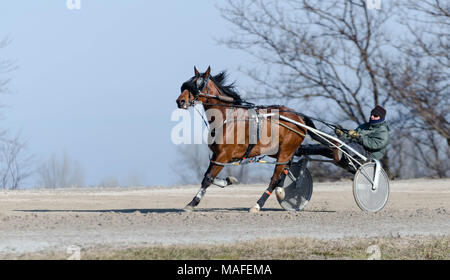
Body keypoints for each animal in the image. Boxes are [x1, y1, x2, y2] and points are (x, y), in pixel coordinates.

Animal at [174, 66, 314, 212]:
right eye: (186, 84)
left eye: (199, 84)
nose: (180, 101)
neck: (227, 118)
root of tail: (299, 118)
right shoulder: (216, 155)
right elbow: (208, 176)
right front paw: (228, 180)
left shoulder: (223, 155)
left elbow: (208, 178)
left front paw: (192, 203)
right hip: (277, 151)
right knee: (285, 169)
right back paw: (279, 190)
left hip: (285, 152)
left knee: (275, 179)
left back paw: (257, 205)